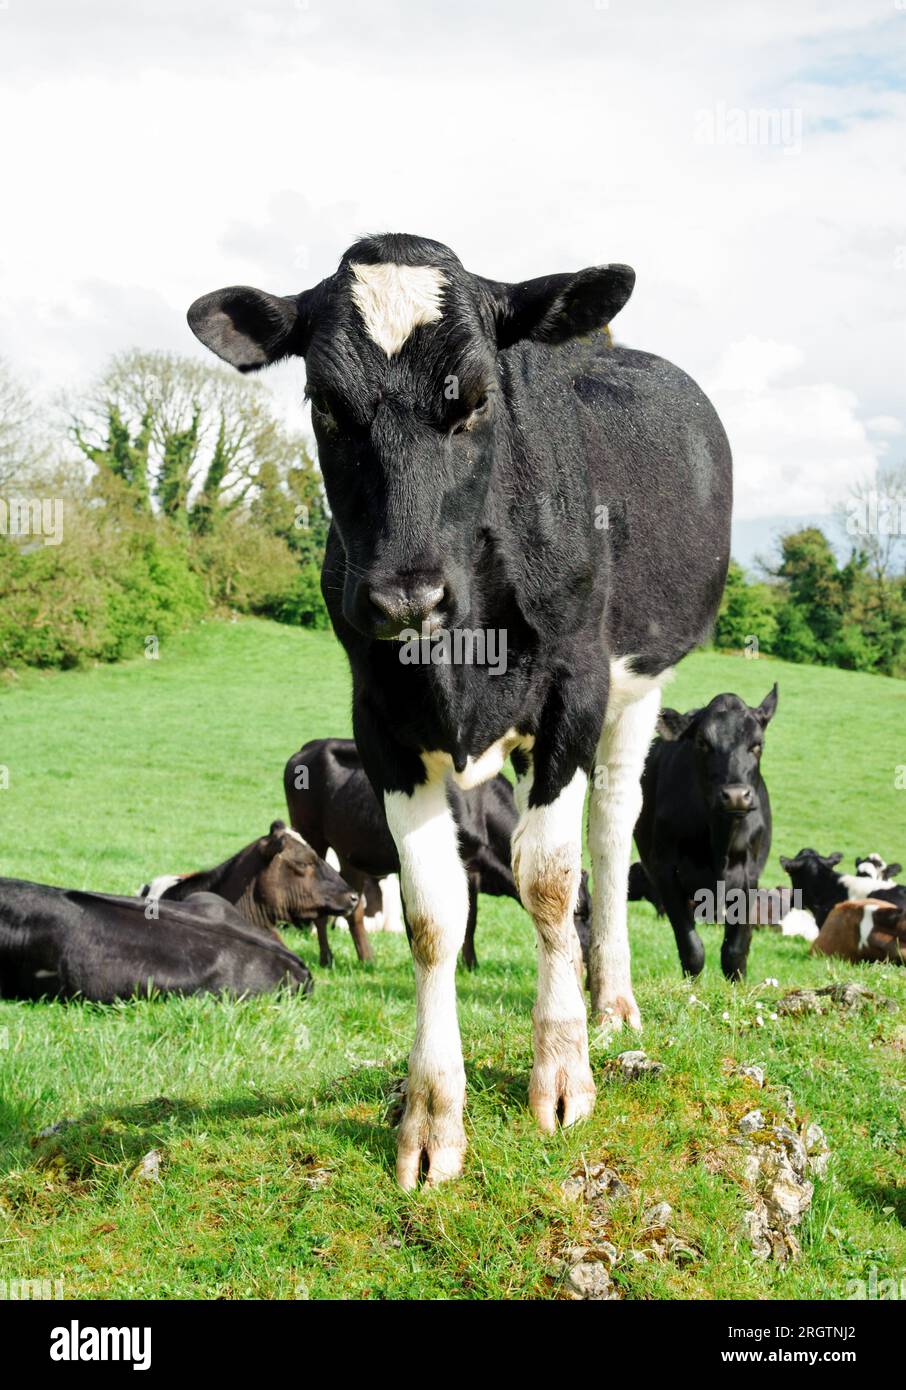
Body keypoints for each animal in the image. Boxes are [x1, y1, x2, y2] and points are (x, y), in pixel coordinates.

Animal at [286, 739, 591, 967]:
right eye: (577, 913)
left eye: (588, 911)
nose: (584, 955)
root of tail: (306, 749)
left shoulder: (473, 869)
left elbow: (471, 919)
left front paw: (471, 964)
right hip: (312, 837)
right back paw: (327, 959)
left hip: (351, 853)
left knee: (355, 910)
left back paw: (367, 959)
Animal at [630, 686, 778, 978]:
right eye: (702, 743)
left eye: (757, 744)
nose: (736, 796)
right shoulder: (665, 871)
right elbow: (691, 947)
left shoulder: (749, 875)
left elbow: (735, 950)